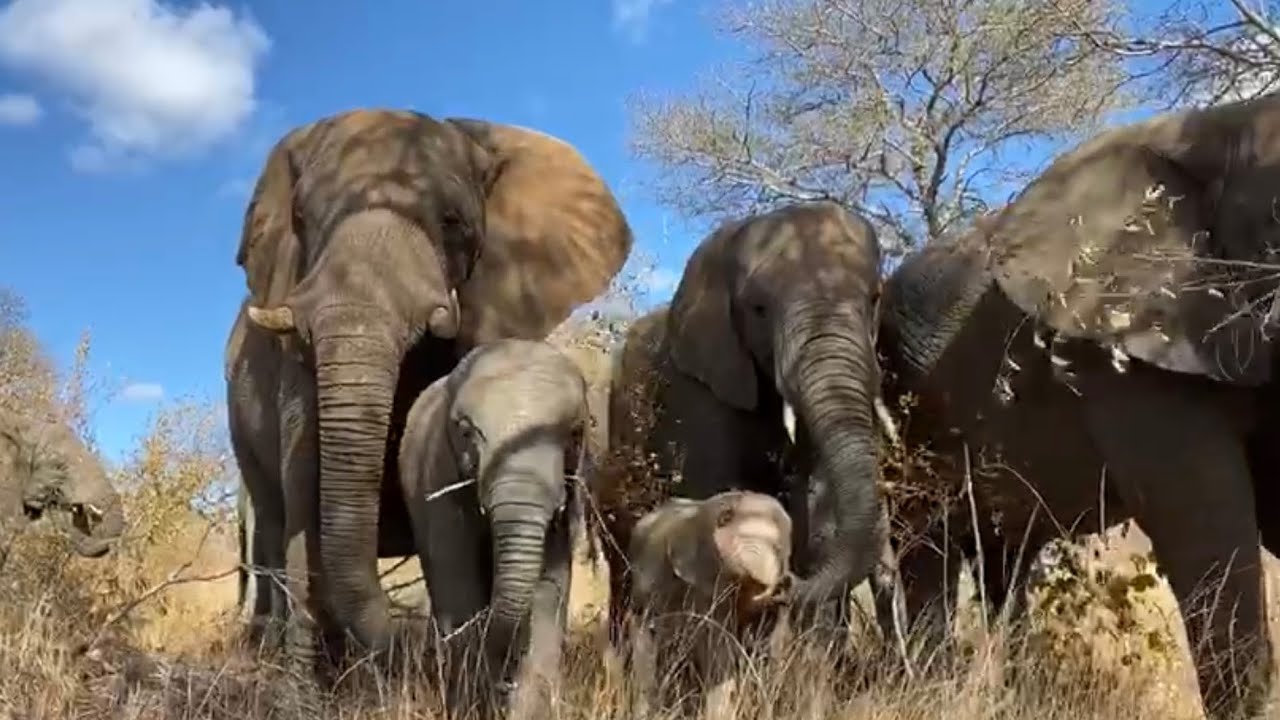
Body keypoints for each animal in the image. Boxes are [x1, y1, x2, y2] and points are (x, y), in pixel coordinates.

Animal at [397, 338, 590, 719]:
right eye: (466, 433)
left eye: (575, 434)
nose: (504, 686)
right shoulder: (438, 471)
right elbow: (457, 581)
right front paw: (472, 706)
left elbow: (551, 586)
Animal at [593, 200, 886, 652]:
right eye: (758, 309)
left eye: (874, 298)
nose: (785, 583)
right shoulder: (695, 389)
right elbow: (717, 491)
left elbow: (816, 501)